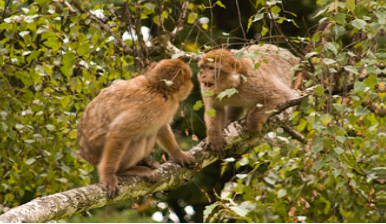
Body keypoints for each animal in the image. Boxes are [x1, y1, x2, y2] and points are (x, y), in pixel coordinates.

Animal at [76, 58, 196, 198]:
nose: (192, 83)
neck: (157, 88)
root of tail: (85, 154)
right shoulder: (152, 105)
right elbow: (119, 131)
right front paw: (108, 176)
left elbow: (161, 127)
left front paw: (178, 154)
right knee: (139, 137)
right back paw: (125, 170)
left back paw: (143, 162)